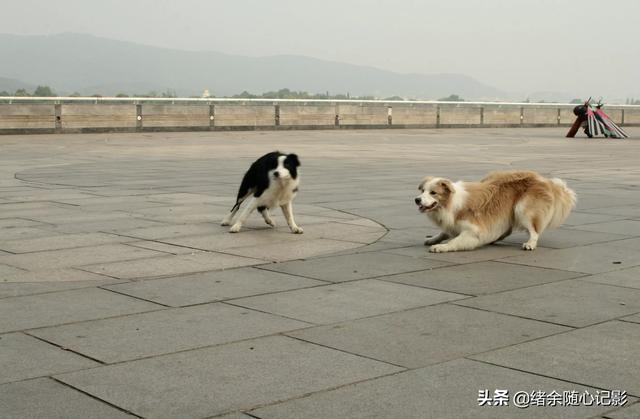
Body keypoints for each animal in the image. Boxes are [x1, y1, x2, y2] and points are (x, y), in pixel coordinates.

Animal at [416, 171, 576, 253]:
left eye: (433, 193)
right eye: (422, 190)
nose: (416, 200)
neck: (450, 203)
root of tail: (545, 180)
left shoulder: (473, 231)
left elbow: (455, 241)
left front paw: (441, 247)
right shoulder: (452, 224)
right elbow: (444, 232)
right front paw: (433, 239)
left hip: (522, 209)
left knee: (534, 231)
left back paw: (530, 244)